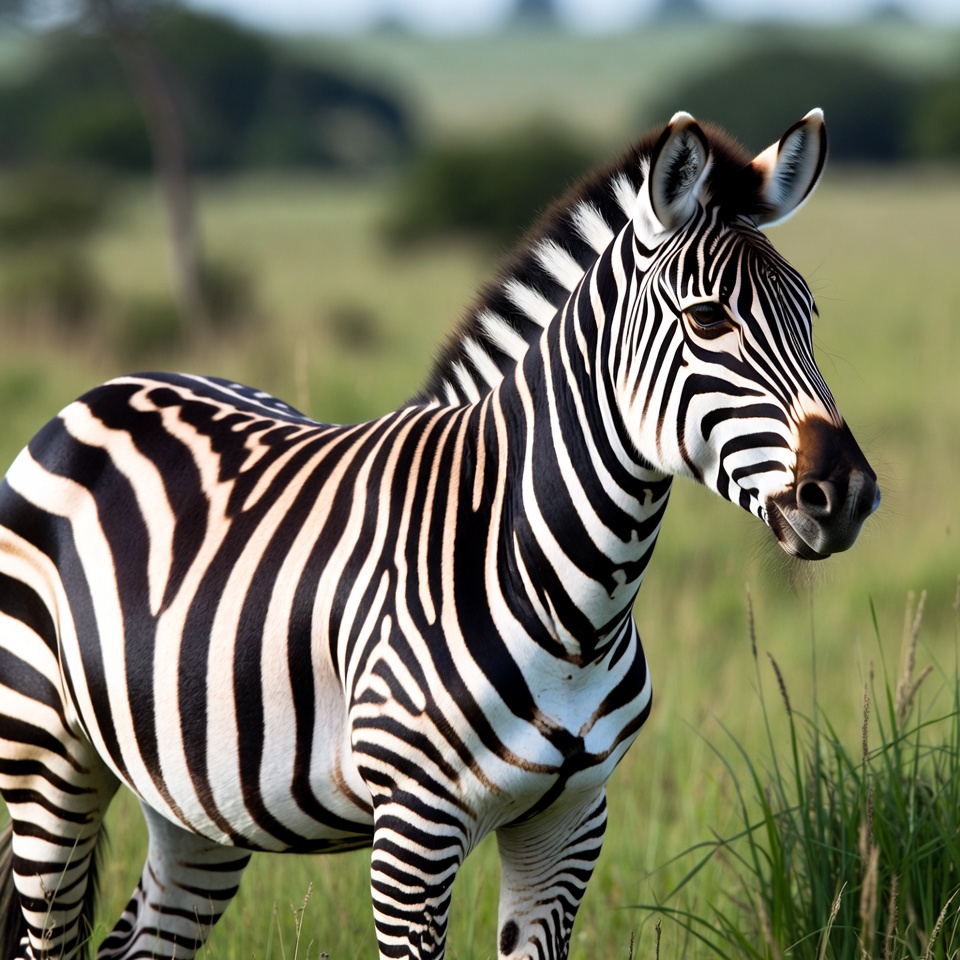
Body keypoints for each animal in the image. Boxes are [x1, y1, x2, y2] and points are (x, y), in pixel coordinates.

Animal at [0, 108, 878, 960]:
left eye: (810, 315)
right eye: (708, 319)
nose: (848, 494)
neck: (573, 603)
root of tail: (107, 390)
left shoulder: (571, 820)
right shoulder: (416, 828)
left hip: (195, 802)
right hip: (47, 758)